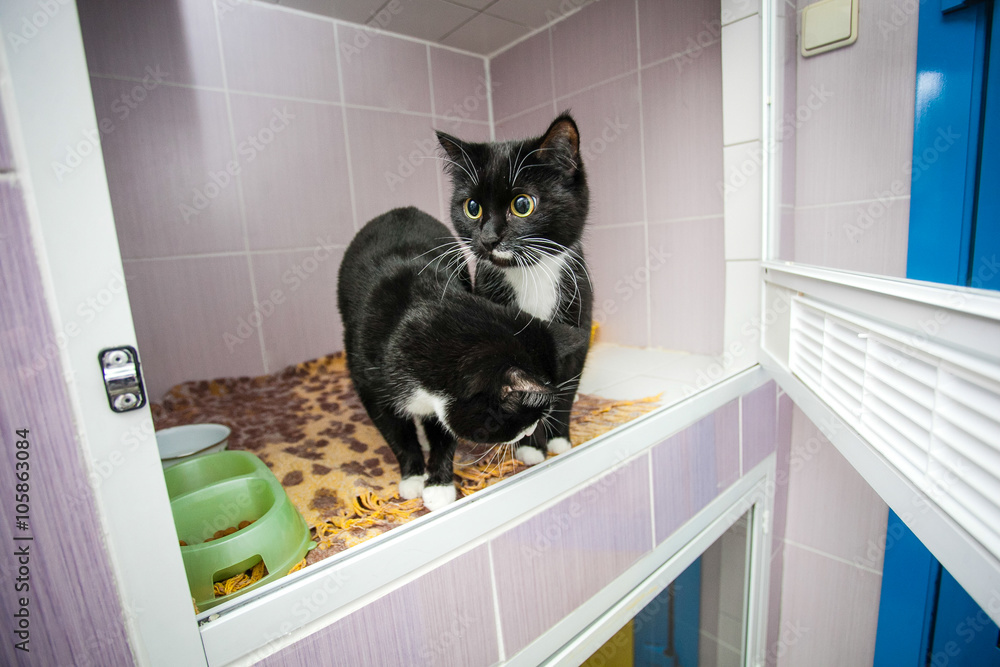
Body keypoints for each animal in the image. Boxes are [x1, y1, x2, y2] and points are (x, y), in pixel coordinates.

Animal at [336, 206, 584, 508]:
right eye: (525, 418)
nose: (529, 431)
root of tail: (401, 210)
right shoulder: (370, 385)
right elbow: (397, 434)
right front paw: (413, 477)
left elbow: (443, 432)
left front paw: (438, 485)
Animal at [438, 113, 592, 464]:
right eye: (472, 207)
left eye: (522, 204)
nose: (488, 238)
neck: (530, 274)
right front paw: (531, 448)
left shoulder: (579, 313)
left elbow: (568, 385)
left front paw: (560, 440)